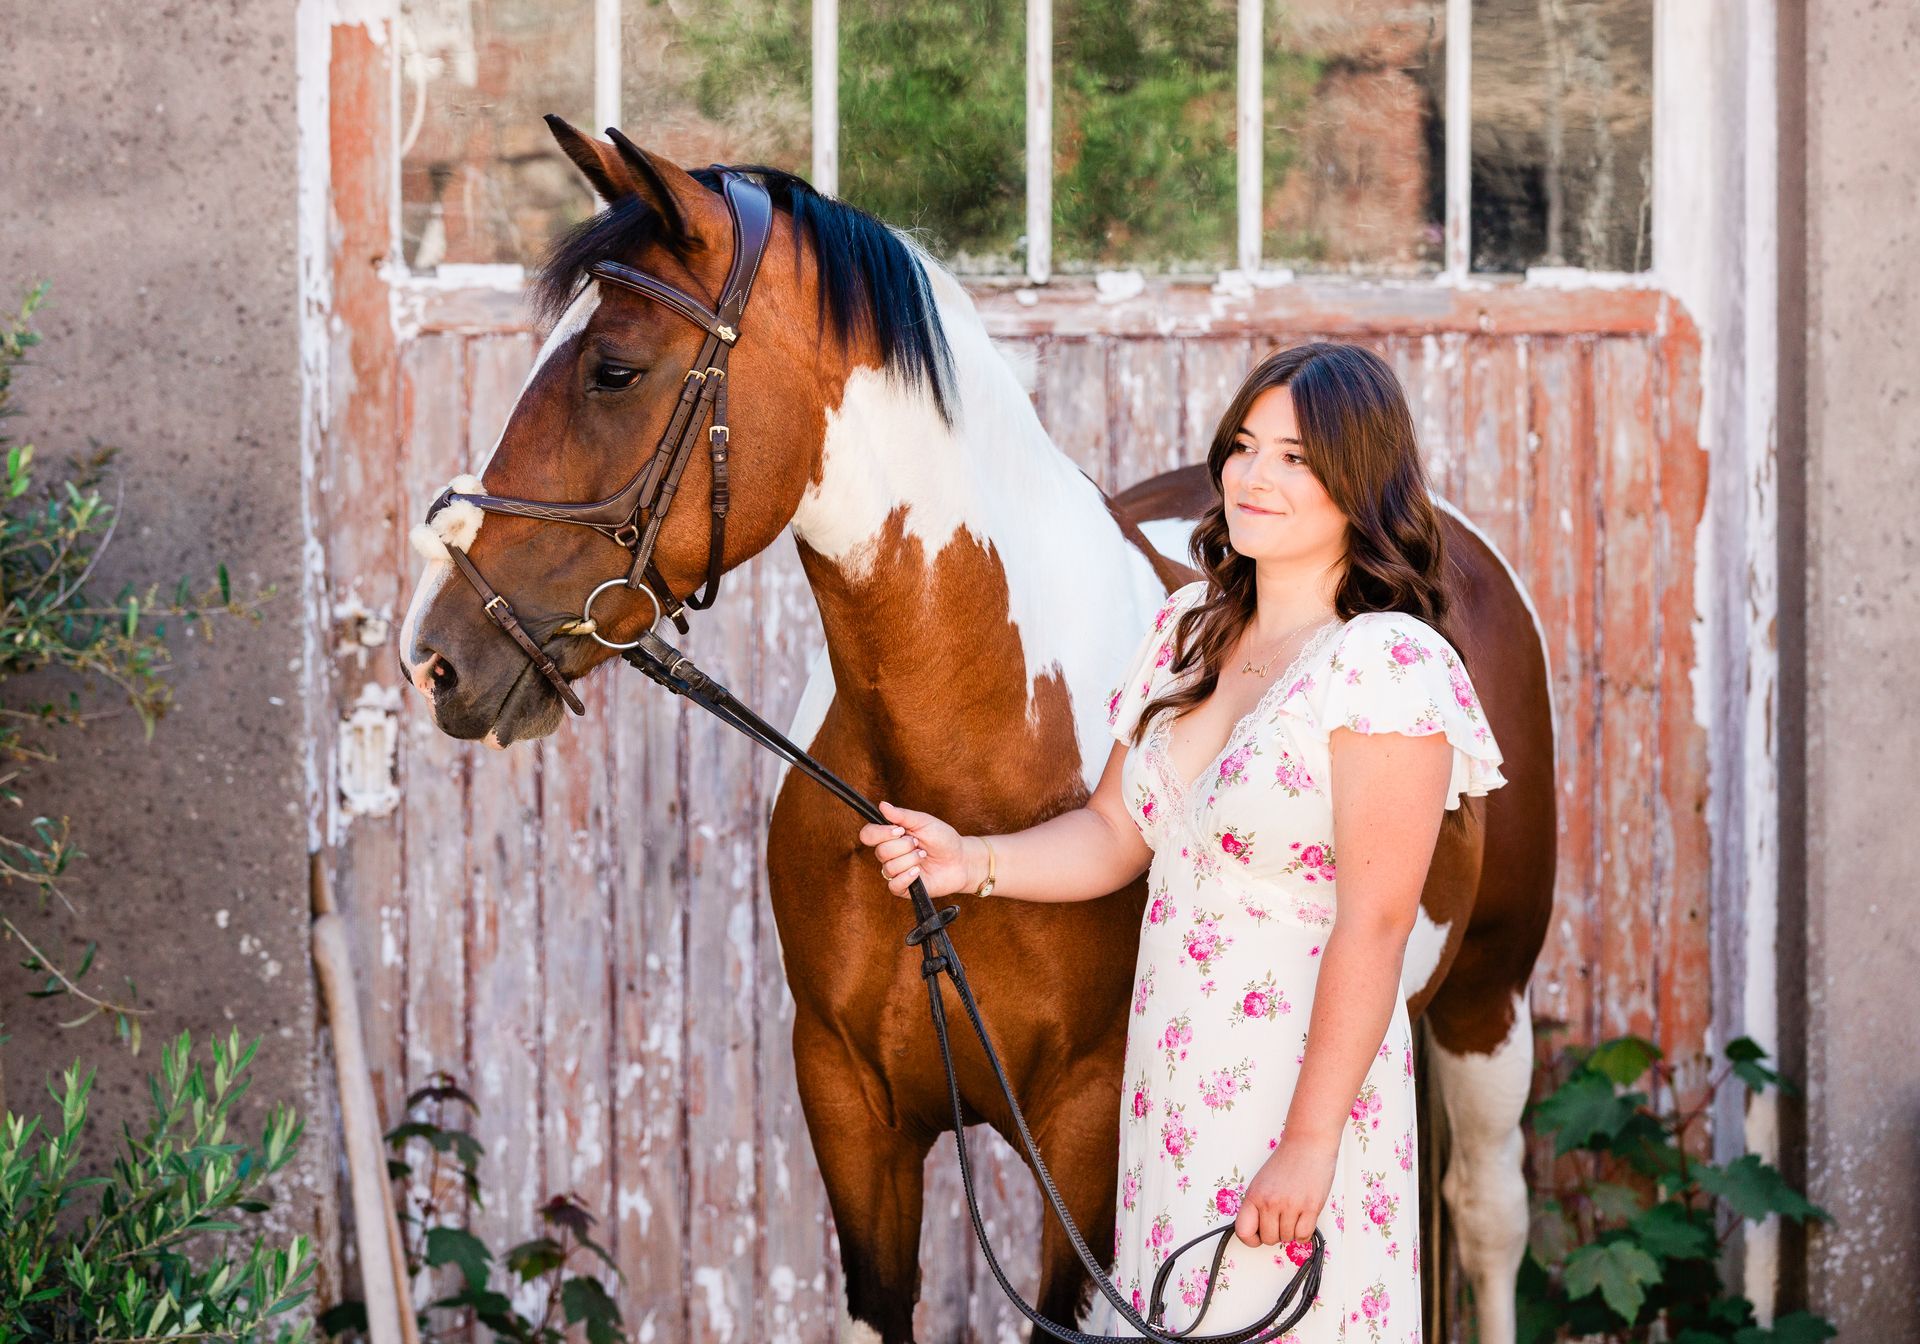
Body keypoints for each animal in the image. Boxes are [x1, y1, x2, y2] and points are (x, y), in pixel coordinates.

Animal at [396, 119, 1555, 1344]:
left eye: (613, 369)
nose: (435, 653)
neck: (976, 744)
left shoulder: (1088, 1129)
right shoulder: (850, 1112)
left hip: (1488, 1002)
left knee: (1487, 1220)